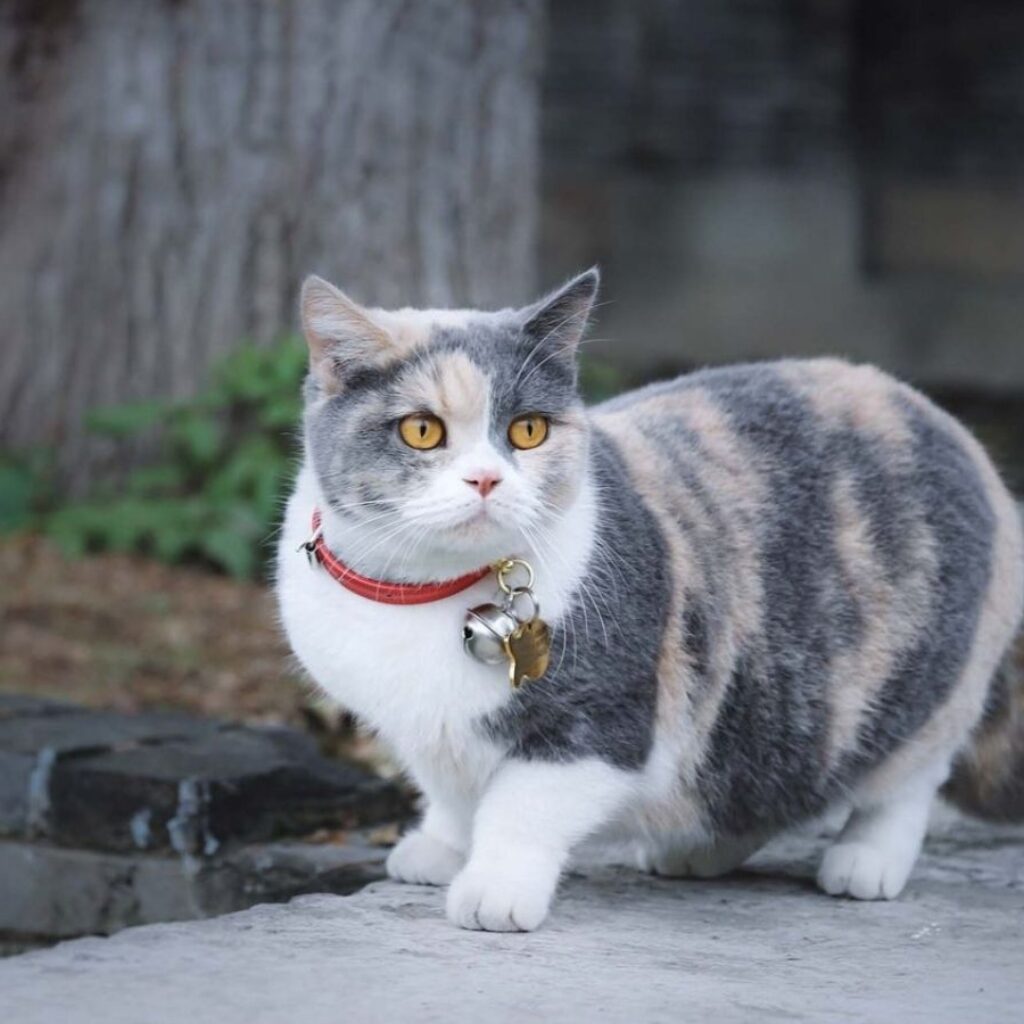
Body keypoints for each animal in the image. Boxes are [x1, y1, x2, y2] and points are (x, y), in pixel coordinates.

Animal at [272, 268, 1024, 933]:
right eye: (422, 430)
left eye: (528, 431)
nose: (486, 478)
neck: (423, 592)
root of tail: (954, 428)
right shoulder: (423, 734)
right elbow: (451, 793)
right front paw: (440, 848)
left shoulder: (604, 720)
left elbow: (522, 806)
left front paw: (493, 890)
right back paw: (697, 850)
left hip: (927, 692)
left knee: (906, 780)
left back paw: (865, 861)